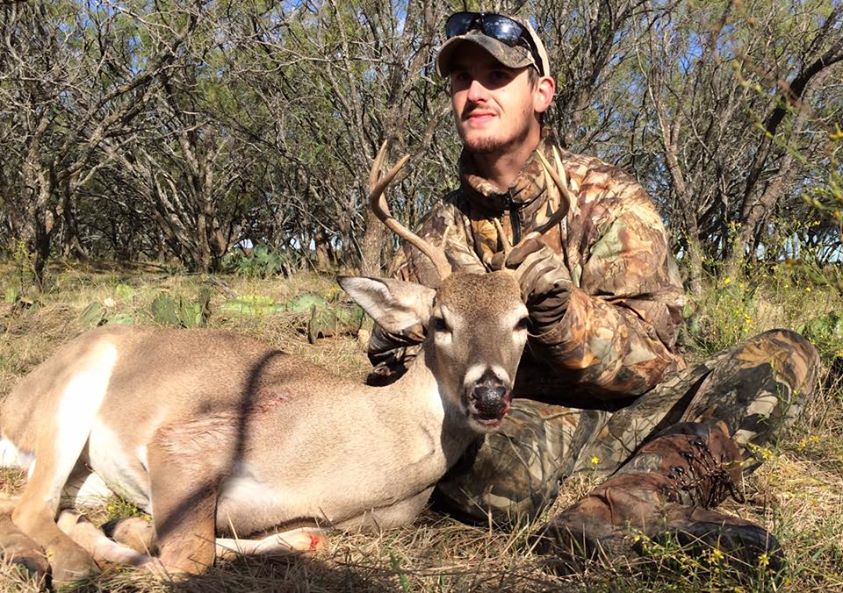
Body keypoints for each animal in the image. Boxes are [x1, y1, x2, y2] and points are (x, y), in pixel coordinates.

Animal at [0, 143, 570, 585]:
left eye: (523, 320)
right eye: (439, 321)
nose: (489, 395)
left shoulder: (323, 520)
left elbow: (300, 540)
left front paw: (127, 528)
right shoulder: (187, 441)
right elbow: (190, 558)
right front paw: (123, 539)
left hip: (88, 472)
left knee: (27, 503)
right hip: (73, 393)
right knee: (32, 504)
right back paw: (70, 562)